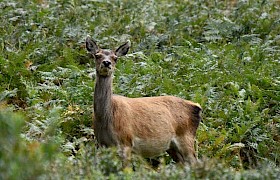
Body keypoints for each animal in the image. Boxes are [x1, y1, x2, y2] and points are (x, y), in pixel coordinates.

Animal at [85, 37, 201, 167]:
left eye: (115, 58)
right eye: (97, 55)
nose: (106, 63)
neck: (107, 117)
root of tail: (196, 106)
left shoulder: (126, 142)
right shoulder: (102, 144)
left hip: (186, 137)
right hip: (172, 147)